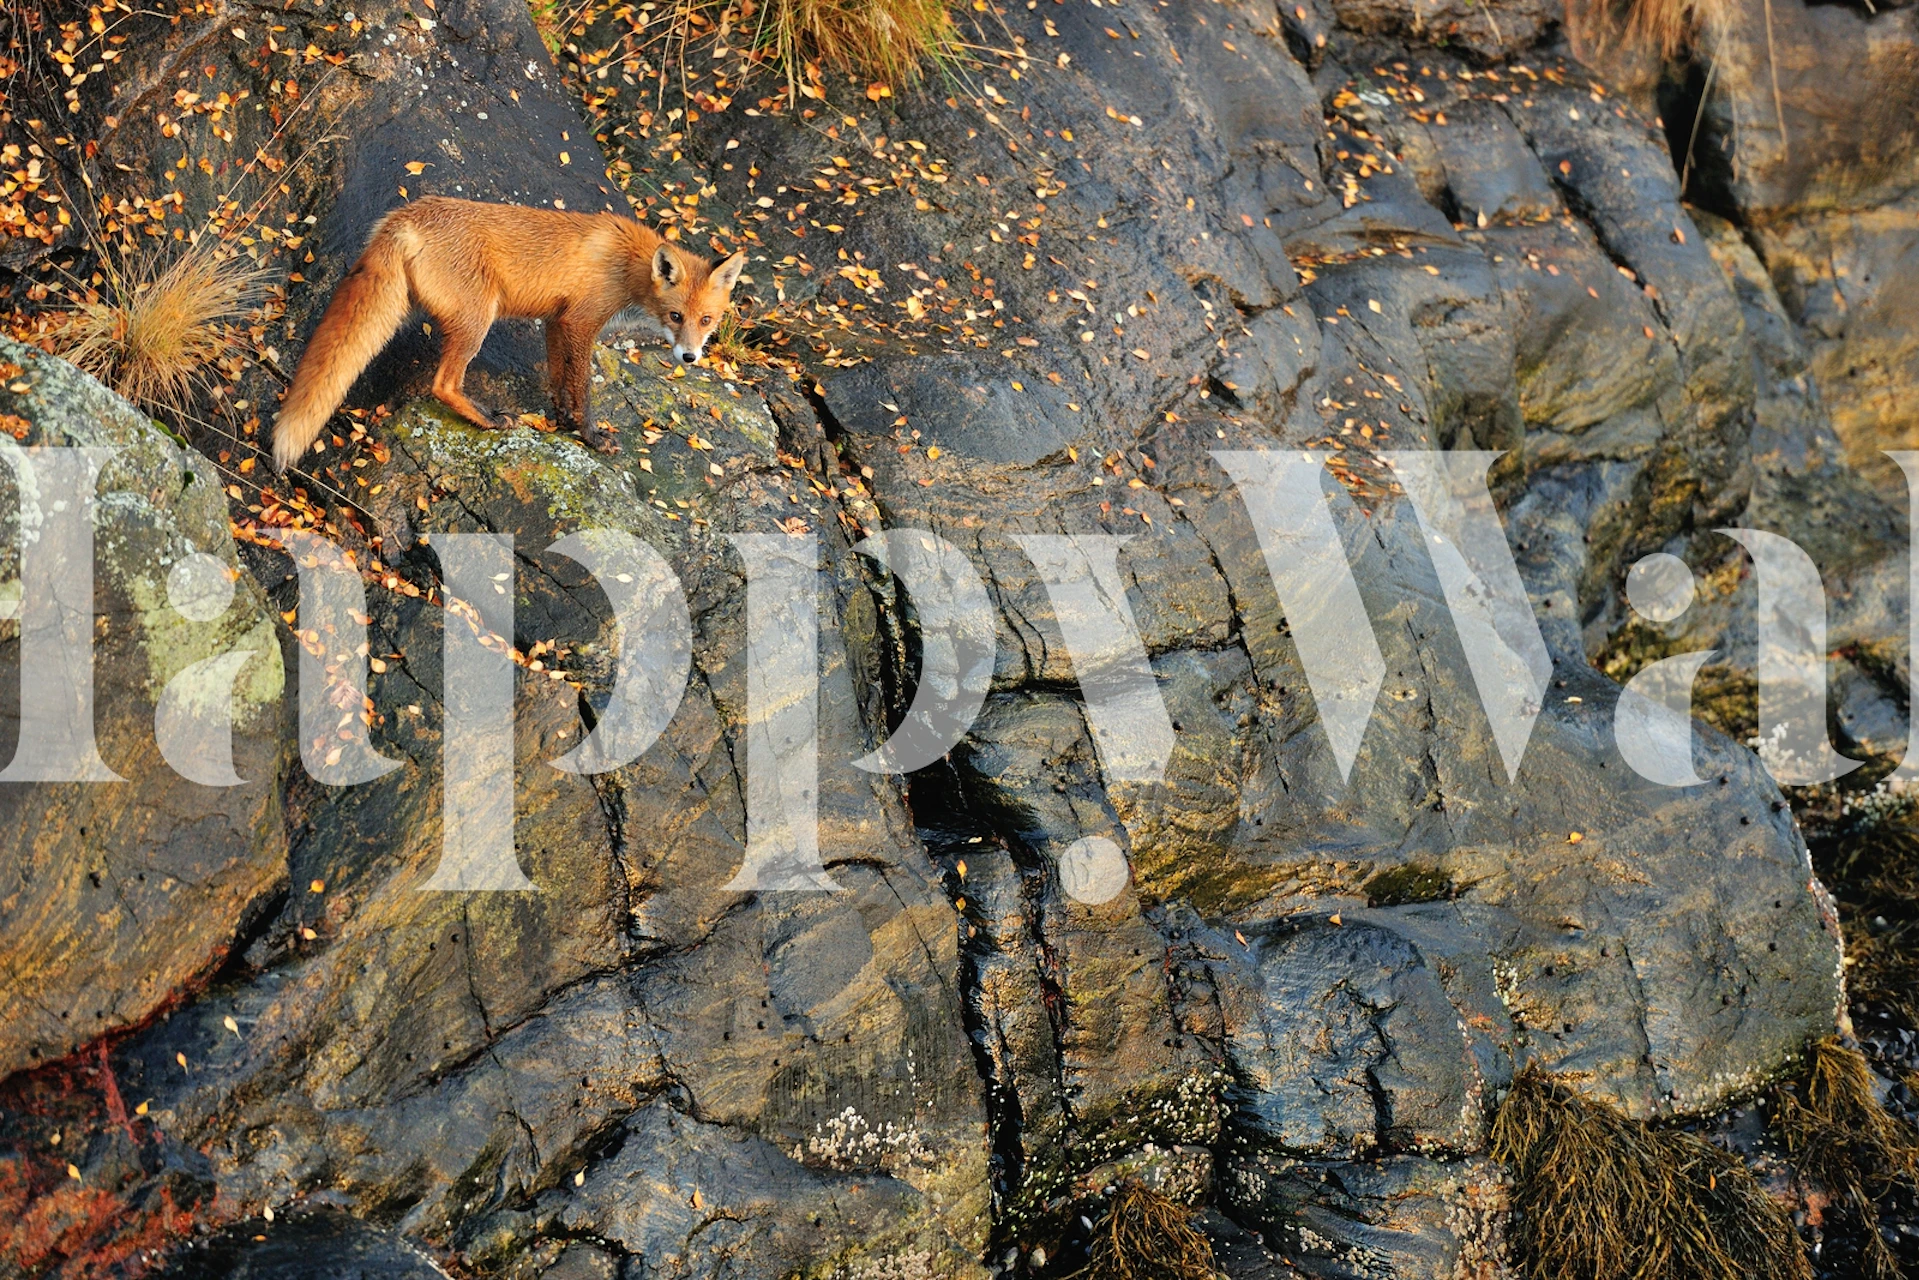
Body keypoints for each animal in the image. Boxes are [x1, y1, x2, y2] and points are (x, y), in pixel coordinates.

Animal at [271, 195, 746, 472]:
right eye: (675, 316)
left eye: (706, 320)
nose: (689, 358)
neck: (628, 265)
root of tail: (405, 216)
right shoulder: (581, 323)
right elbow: (582, 386)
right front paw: (590, 436)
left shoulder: (556, 321)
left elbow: (558, 379)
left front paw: (561, 420)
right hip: (478, 319)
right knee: (443, 384)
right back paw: (487, 419)